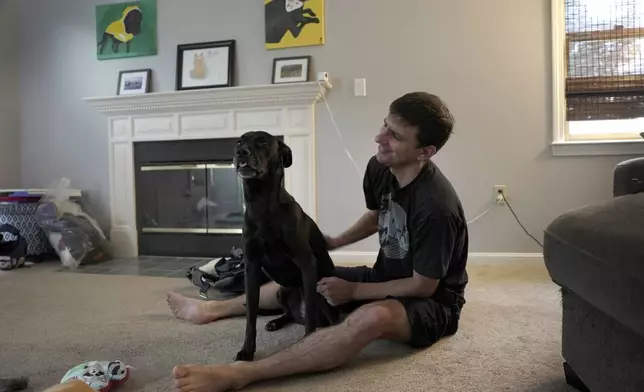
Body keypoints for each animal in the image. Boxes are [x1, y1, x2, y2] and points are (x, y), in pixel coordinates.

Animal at [235, 131, 338, 362]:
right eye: (239, 141)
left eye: (263, 141)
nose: (240, 152)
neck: (261, 204)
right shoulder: (251, 266)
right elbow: (250, 317)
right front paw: (247, 351)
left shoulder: (307, 263)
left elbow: (310, 318)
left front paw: (309, 345)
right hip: (281, 291)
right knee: (289, 314)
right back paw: (276, 321)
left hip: (322, 290)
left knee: (324, 318)